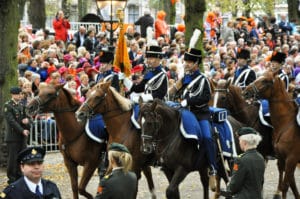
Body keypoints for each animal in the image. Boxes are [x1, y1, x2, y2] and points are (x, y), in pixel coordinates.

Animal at [244, 71, 300, 199]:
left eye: (265, 81)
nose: (245, 91)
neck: (287, 123)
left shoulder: (291, 159)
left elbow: (286, 186)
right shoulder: (283, 158)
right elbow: (291, 186)